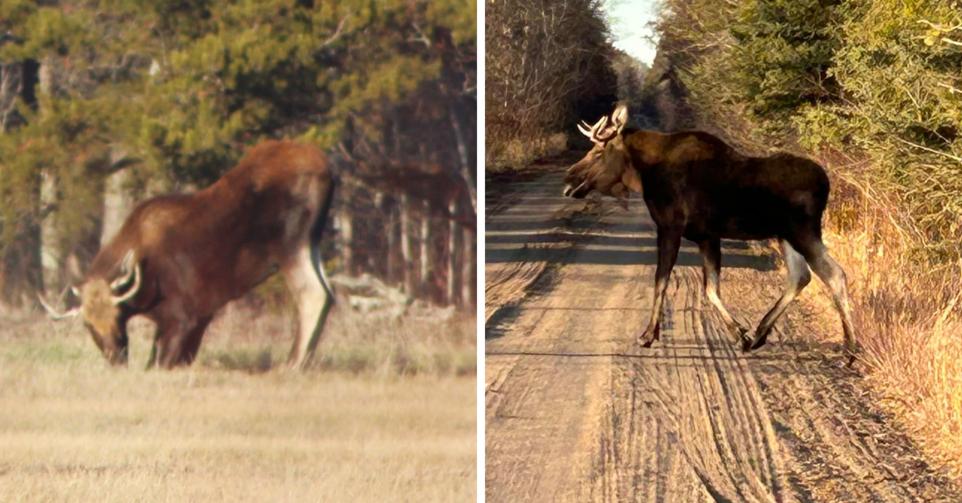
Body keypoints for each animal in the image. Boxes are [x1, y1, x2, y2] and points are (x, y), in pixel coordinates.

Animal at [38, 141, 338, 370]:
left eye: (116, 316)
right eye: (88, 324)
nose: (116, 358)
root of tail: (329, 169)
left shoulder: (185, 316)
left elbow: (161, 363)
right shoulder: (197, 319)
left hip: (291, 244)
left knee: (313, 294)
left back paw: (293, 363)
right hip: (312, 240)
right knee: (328, 292)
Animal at [564, 103, 856, 362]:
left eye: (598, 151)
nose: (568, 179)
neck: (643, 174)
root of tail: (826, 182)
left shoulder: (670, 227)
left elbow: (662, 281)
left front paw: (648, 335)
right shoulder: (707, 237)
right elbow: (711, 288)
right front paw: (741, 334)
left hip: (802, 231)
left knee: (835, 274)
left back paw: (850, 350)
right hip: (785, 235)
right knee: (800, 276)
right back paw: (760, 334)